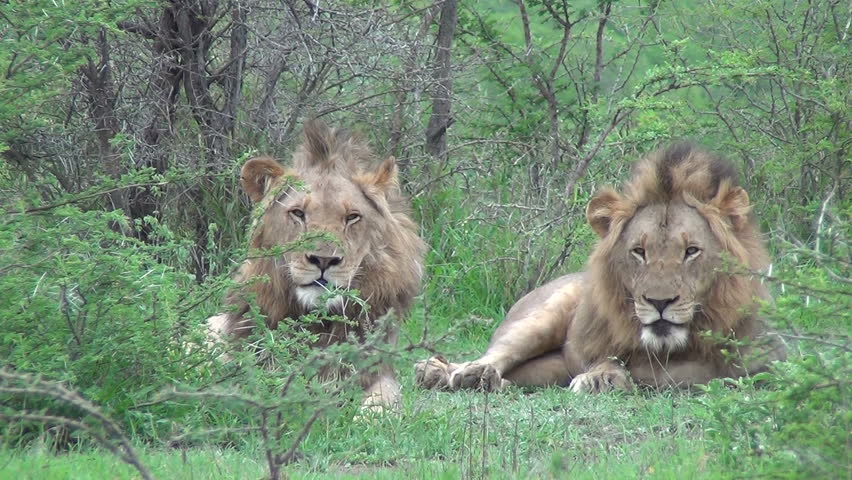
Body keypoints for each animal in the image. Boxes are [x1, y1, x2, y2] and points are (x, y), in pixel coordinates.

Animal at [207, 120, 426, 410]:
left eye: (352, 217)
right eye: (298, 213)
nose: (324, 260)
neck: (319, 323)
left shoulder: (378, 373)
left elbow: (384, 401)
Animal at [415, 143, 786, 393]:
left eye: (691, 251)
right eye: (639, 252)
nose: (659, 303)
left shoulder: (762, 363)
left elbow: (674, 372)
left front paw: (609, 377)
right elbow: (623, 361)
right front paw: (603, 376)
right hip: (541, 316)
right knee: (492, 355)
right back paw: (455, 373)